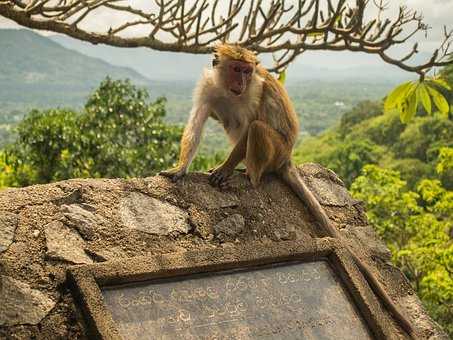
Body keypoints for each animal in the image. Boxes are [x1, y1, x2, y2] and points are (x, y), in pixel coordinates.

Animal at [159, 43, 414, 338]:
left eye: (247, 71)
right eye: (236, 69)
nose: (242, 81)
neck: (229, 89)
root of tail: (287, 158)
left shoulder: (254, 92)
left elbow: (250, 123)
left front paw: (226, 167)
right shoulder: (208, 87)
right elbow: (197, 121)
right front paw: (180, 168)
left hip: (276, 151)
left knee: (256, 128)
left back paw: (250, 177)